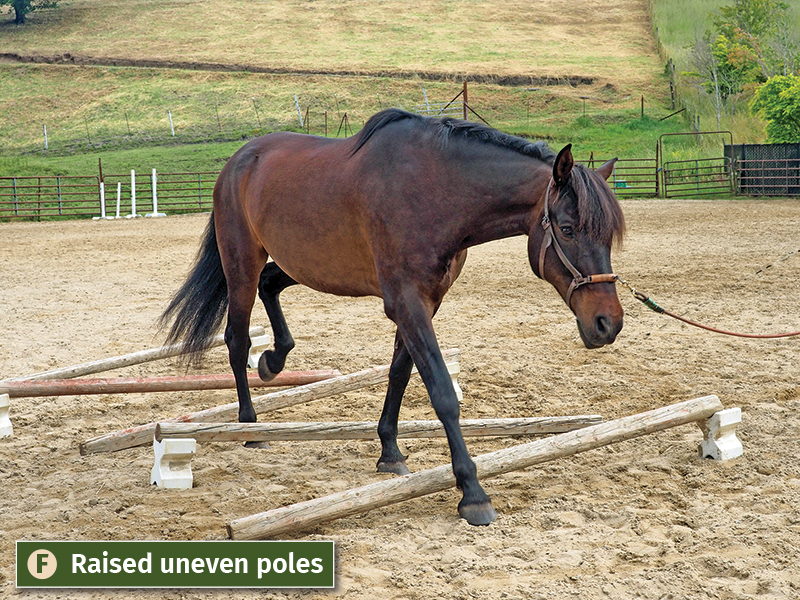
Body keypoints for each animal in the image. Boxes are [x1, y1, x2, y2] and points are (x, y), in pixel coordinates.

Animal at [160, 108, 626, 526]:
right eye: (567, 229)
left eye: (608, 235)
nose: (608, 323)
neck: (435, 192)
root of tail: (238, 160)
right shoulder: (407, 301)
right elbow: (440, 391)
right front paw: (472, 493)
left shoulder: (423, 302)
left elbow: (400, 373)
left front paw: (389, 452)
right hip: (240, 263)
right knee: (237, 340)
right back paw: (251, 427)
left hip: (300, 263)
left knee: (271, 287)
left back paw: (275, 360)